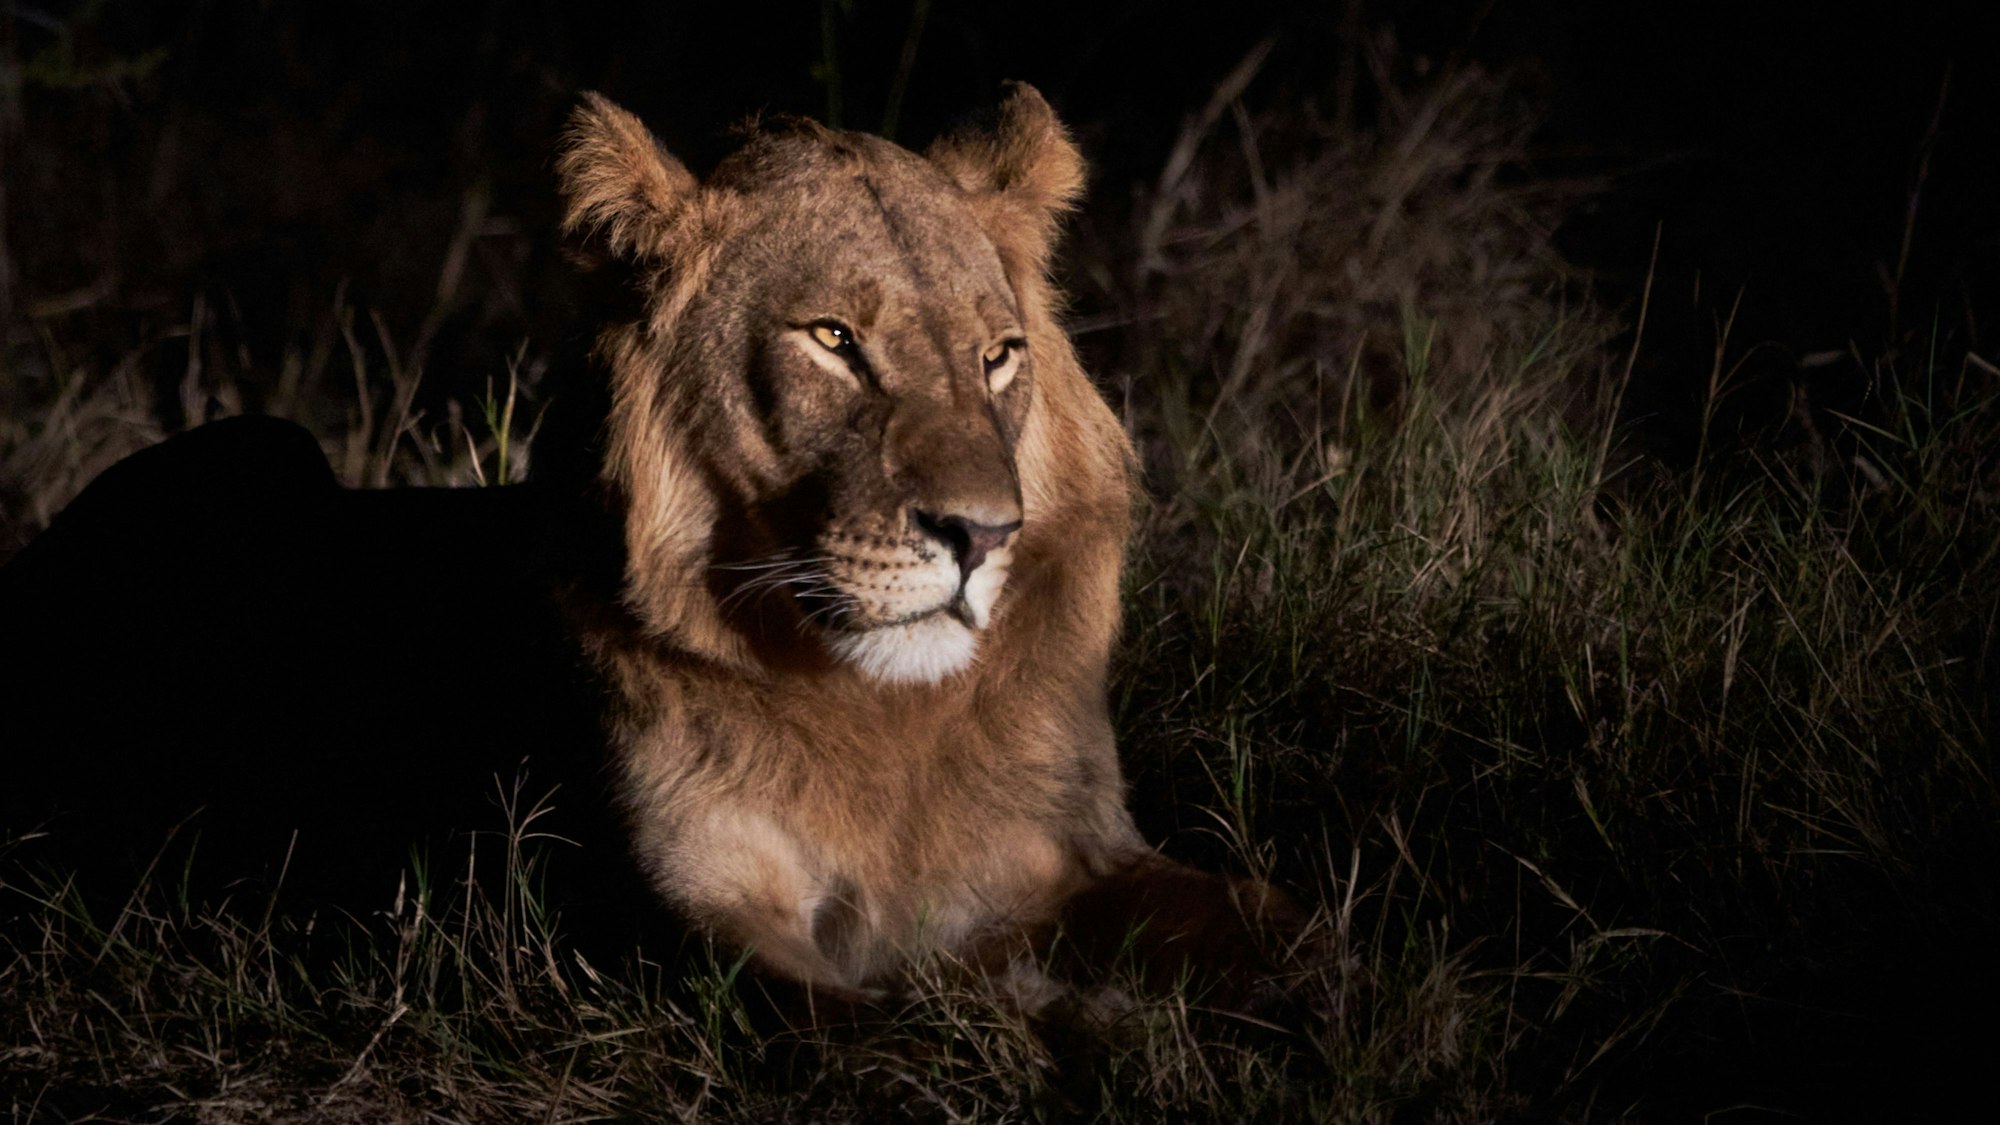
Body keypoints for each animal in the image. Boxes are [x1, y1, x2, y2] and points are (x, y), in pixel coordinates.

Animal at [557, 85, 1301, 1003]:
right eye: (834, 340)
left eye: (998, 355)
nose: (980, 535)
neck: (891, 714)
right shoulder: (690, 911)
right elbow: (892, 1029)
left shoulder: (1084, 848)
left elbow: (1276, 921)